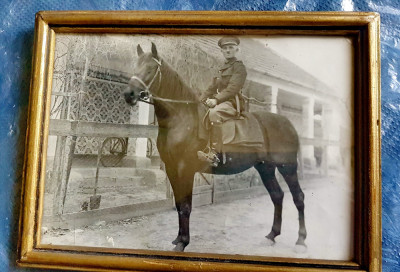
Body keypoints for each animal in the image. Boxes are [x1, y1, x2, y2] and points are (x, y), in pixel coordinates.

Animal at [123, 42, 308, 253]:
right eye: (135, 66)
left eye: (151, 69)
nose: (129, 95)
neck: (181, 119)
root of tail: (287, 123)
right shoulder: (171, 169)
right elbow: (178, 204)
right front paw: (178, 238)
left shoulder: (185, 170)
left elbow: (186, 206)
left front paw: (183, 242)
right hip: (265, 167)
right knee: (277, 195)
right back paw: (272, 235)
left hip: (287, 167)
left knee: (298, 197)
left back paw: (301, 240)